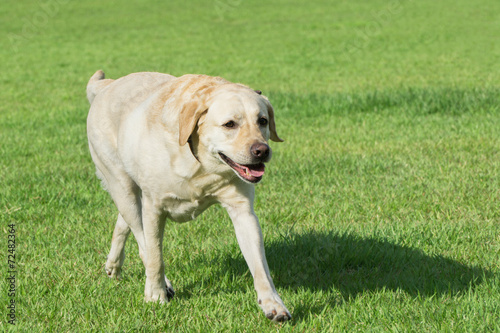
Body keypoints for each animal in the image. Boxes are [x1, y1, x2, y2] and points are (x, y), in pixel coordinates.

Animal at [85, 70, 290, 322]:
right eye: (229, 124)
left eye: (262, 121)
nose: (261, 150)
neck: (201, 165)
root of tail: (107, 86)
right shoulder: (154, 208)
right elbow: (155, 256)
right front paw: (155, 295)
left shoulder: (243, 212)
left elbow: (260, 266)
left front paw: (273, 304)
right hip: (121, 184)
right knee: (140, 236)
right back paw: (160, 283)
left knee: (125, 223)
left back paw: (113, 264)